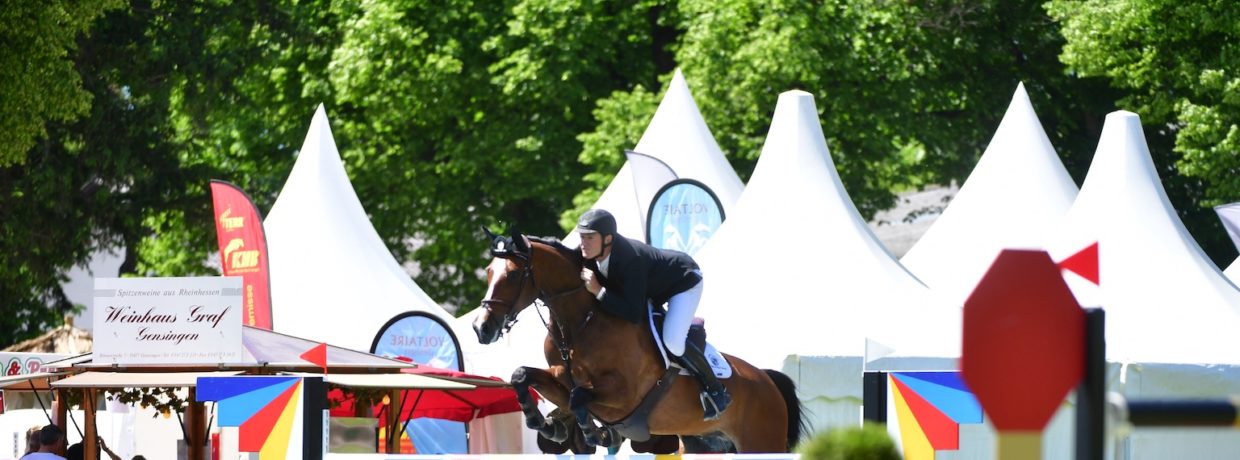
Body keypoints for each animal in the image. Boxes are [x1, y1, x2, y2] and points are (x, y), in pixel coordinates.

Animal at [471, 231, 803, 451]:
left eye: (513, 275)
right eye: (488, 272)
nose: (481, 328)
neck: (580, 324)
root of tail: (767, 380)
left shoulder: (625, 394)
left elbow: (579, 397)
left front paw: (594, 434)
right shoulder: (559, 380)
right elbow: (522, 376)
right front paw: (549, 426)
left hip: (761, 442)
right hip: (706, 444)